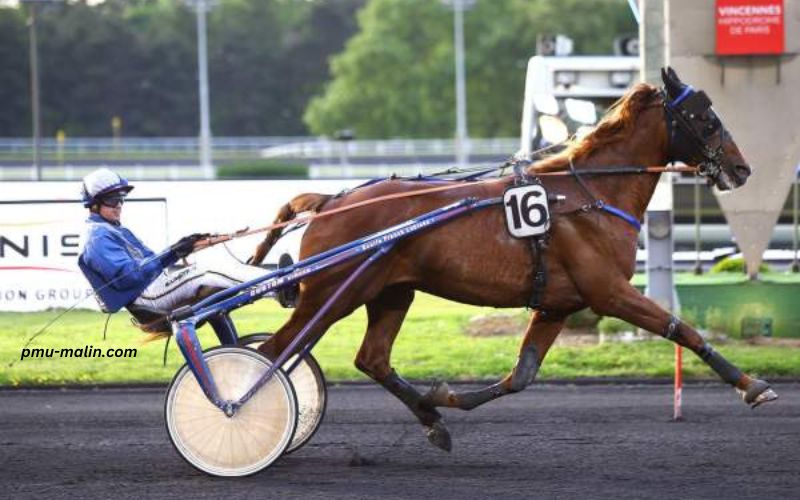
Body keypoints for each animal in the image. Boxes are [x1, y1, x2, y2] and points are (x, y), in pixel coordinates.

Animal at [250, 68, 776, 452]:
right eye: (706, 118)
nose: (742, 168)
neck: (589, 194)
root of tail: (330, 200)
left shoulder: (558, 304)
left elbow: (520, 375)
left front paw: (445, 396)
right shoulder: (608, 292)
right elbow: (683, 329)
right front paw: (751, 385)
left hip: (390, 292)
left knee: (371, 359)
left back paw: (431, 419)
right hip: (333, 293)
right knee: (273, 353)